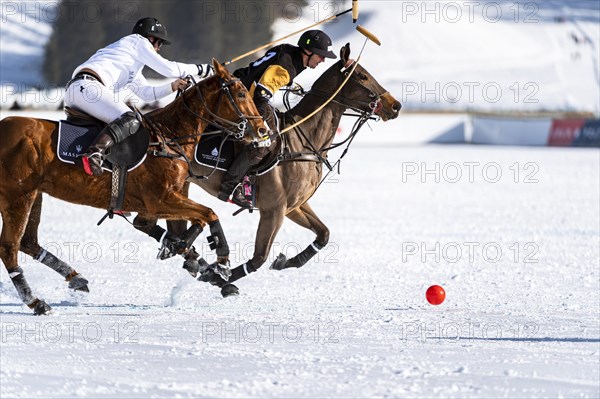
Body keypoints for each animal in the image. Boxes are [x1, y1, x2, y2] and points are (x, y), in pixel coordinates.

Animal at [0, 60, 264, 316]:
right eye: (241, 93)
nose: (263, 130)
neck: (169, 137)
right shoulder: (160, 199)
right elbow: (209, 213)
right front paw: (222, 264)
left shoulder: (152, 207)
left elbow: (187, 225)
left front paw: (190, 257)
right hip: (17, 196)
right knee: (9, 247)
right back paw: (36, 302)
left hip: (35, 194)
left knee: (28, 242)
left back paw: (75, 278)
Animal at [168, 43, 398, 296]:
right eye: (362, 75)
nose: (396, 105)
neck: (304, 139)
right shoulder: (274, 209)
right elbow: (259, 258)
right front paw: (218, 276)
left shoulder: (293, 205)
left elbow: (324, 234)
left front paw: (286, 261)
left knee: (174, 232)